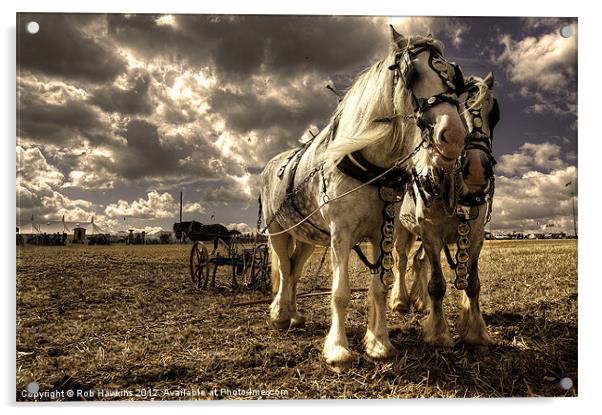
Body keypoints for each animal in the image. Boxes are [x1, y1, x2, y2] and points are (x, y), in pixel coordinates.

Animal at [260, 27, 466, 368]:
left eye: (452, 77)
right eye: (412, 73)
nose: (454, 137)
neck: (369, 164)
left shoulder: (382, 232)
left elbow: (379, 288)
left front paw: (379, 342)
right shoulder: (340, 233)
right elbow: (340, 292)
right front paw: (338, 348)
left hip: (306, 237)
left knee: (294, 269)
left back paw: (293, 314)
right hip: (277, 230)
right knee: (285, 269)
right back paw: (279, 314)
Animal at [390, 73, 496, 346]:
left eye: (495, 112)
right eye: (458, 105)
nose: (477, 170)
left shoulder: (475, 236)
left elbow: (472, 283)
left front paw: (475, 331)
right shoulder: (430, 234)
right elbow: (437, 284)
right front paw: (438, 333)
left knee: (419, 261)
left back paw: (419, 302)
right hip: (404, 230)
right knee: (402, 260)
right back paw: (401, 300)